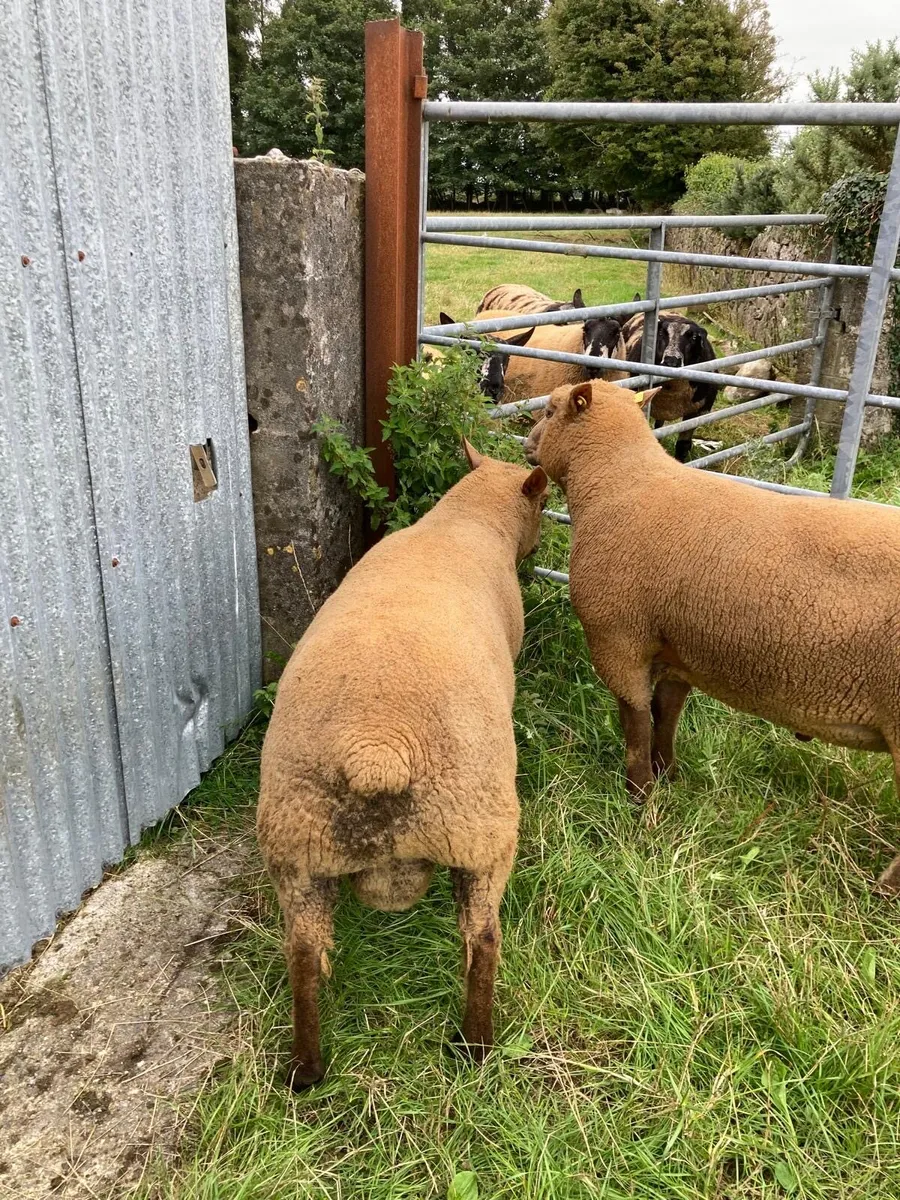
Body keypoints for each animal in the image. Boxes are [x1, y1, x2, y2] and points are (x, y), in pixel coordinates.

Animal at [257, 444, 549, 1087]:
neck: (466, 522)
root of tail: (378, 751)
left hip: (296, 848)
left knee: (302, 956)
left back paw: (307, 1070)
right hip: (482, 835)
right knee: (483, 944)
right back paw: (477, 1047)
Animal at [523, 378, 900, 895]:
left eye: (550, 410)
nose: (526, 444)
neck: (616, 480)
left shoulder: (617, 638)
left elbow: (635, 723)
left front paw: (638, 796)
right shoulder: (678, 652)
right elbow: (666, 715)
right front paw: (668, 775)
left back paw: (884, 889)